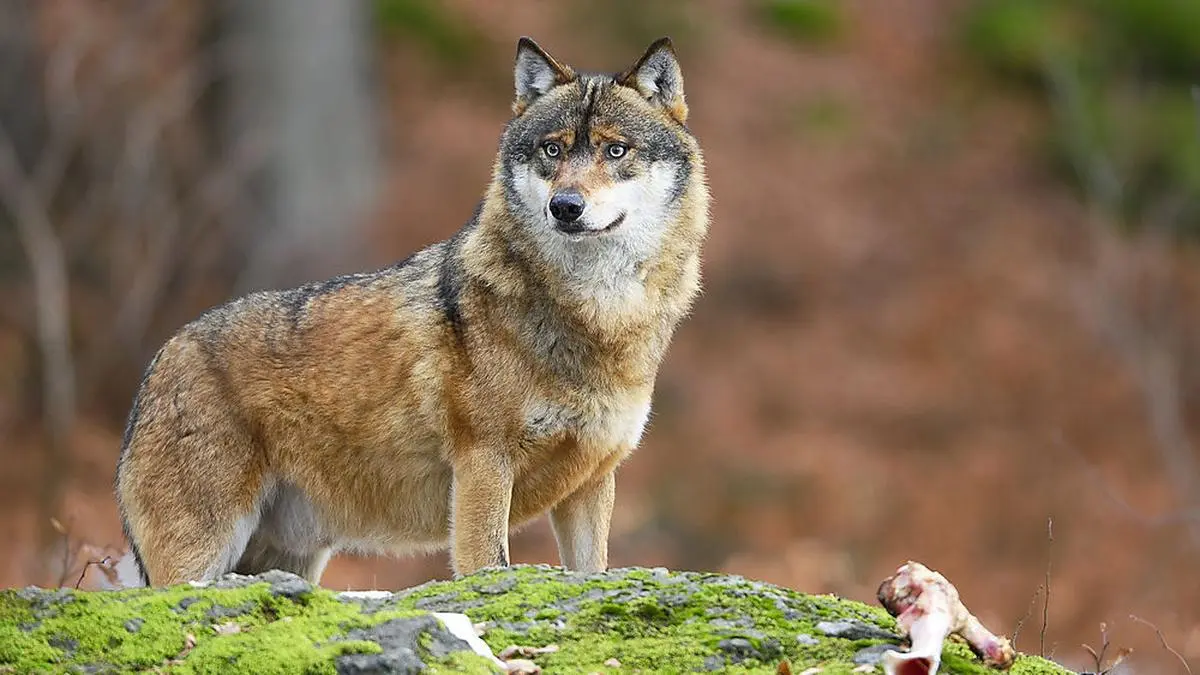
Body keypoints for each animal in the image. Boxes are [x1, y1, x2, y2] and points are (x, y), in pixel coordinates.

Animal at [114, 35, 710, 587]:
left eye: (616, 151)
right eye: (552, 150)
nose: (564, 206)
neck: (596, 314)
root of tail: (157, 365)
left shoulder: (591, 481)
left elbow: (593, 571)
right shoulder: (483, 466)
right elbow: (486, 565)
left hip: (284, 562)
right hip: (201, 559)